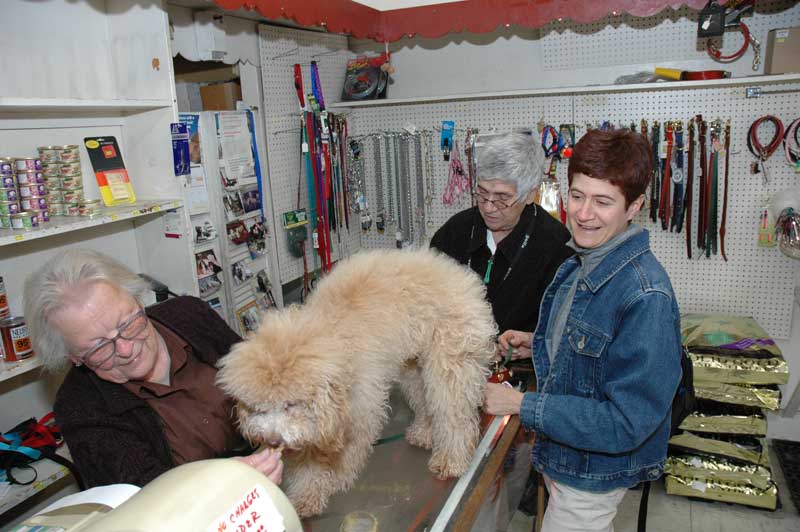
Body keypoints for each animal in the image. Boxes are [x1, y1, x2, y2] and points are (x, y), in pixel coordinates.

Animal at [216, 248, 496, 516]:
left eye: (291, 404)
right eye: (259, 408)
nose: (273, 441)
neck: (333, 335)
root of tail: (463, 277)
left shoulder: (358, 408)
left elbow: (346, 450)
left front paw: (336, 479)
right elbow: (309, 459)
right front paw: (307, 496)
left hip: (451, 365)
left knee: (454, 415)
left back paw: (451, 460)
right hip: (413, 367)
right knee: (426, 401)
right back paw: (424, 433)